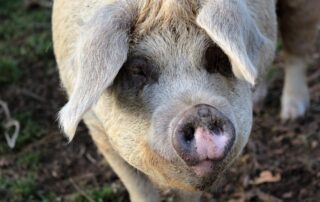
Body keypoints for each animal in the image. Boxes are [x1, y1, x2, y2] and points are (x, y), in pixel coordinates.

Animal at [51, 0, 318, 201]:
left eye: (217, 56)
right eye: (137, 69)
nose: (200, 112)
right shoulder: (98, 132)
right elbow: (140, 190)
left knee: (296, 45)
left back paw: (292, 113)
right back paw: (260, 100)